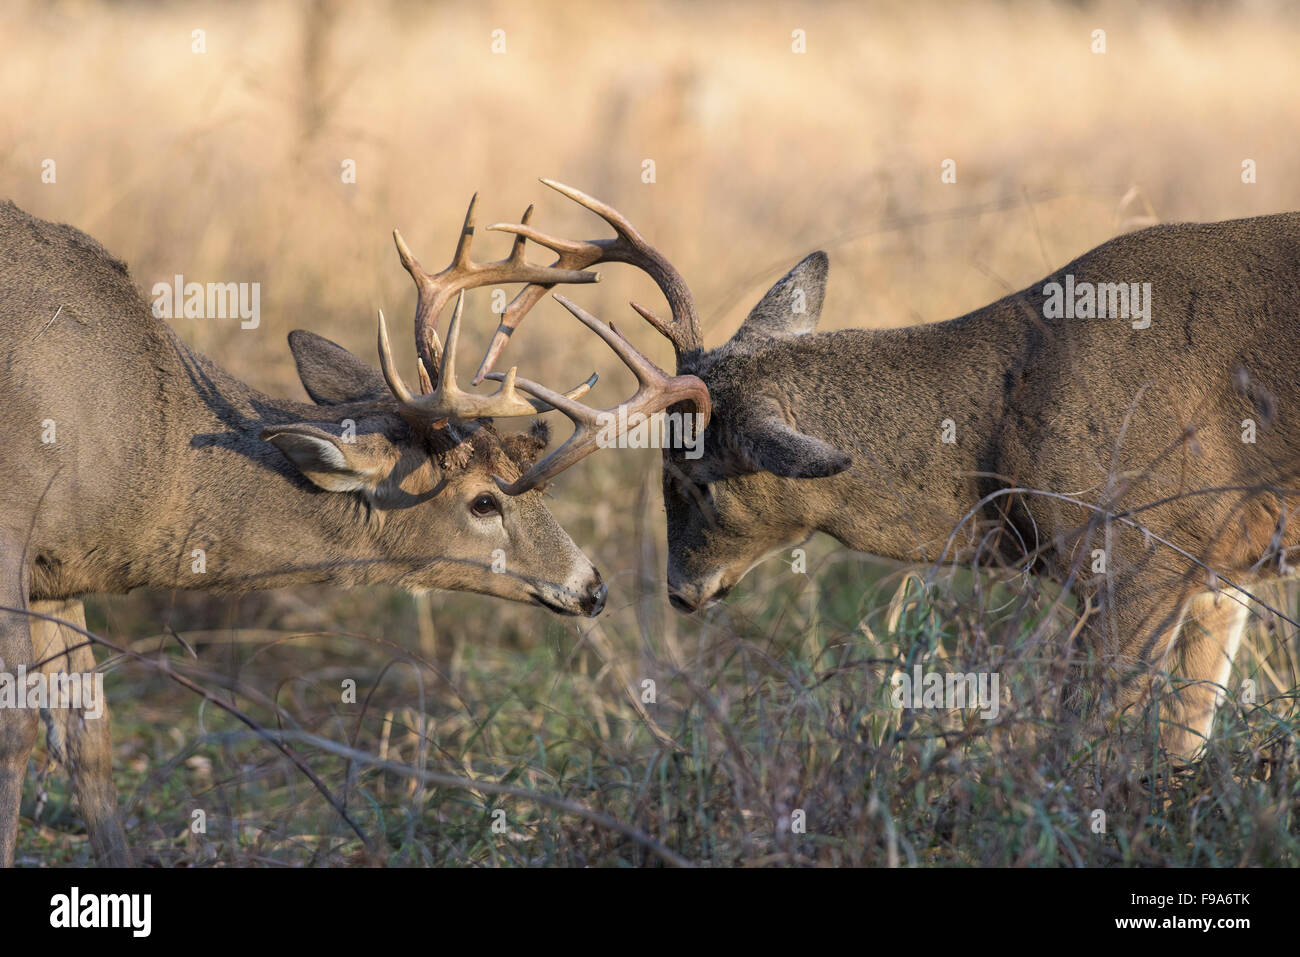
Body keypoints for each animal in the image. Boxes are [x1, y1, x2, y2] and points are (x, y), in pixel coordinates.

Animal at [0, 189, 703, 866]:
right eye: (483, 502)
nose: (592, 587)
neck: (148, 452)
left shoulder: (59, 573)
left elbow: (86, 729)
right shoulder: (14, 540)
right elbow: (18, 729)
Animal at [480, 181, 1300, 768]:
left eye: (695, 476)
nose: (680, 589)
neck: (1001, 427)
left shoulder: (1136, 554)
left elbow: (1091, 748)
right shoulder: (1220, 571)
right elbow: (1183, 746)